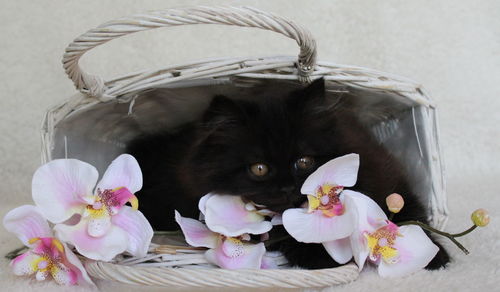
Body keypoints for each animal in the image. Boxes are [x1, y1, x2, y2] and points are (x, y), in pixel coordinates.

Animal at [126, 78, 450, 270]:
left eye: (304, 161)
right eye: (259, 168)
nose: (286, 187)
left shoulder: (386, 177)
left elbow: (409, 217)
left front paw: (434, 254)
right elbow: (287, 232)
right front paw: (321, 258)